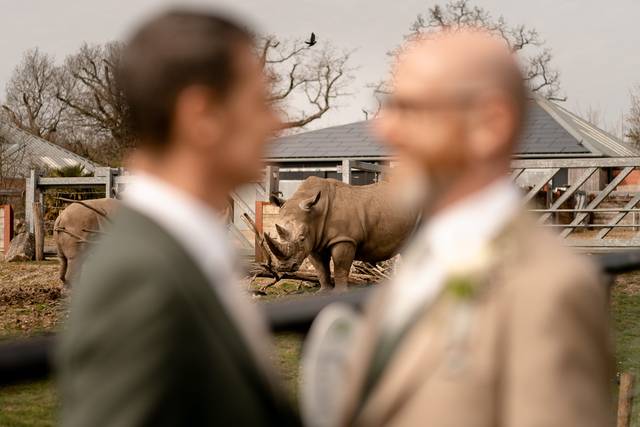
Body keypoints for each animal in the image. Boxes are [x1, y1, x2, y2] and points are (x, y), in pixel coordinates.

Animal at [265, 176, 419, 292]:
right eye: (278, 234)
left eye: (301, 238)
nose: (284, 267)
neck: (315, 213)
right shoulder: (314, 241)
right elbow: (320, 268)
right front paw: (323, 292)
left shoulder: (344, 239)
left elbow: (340, 267)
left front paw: (339, 292)